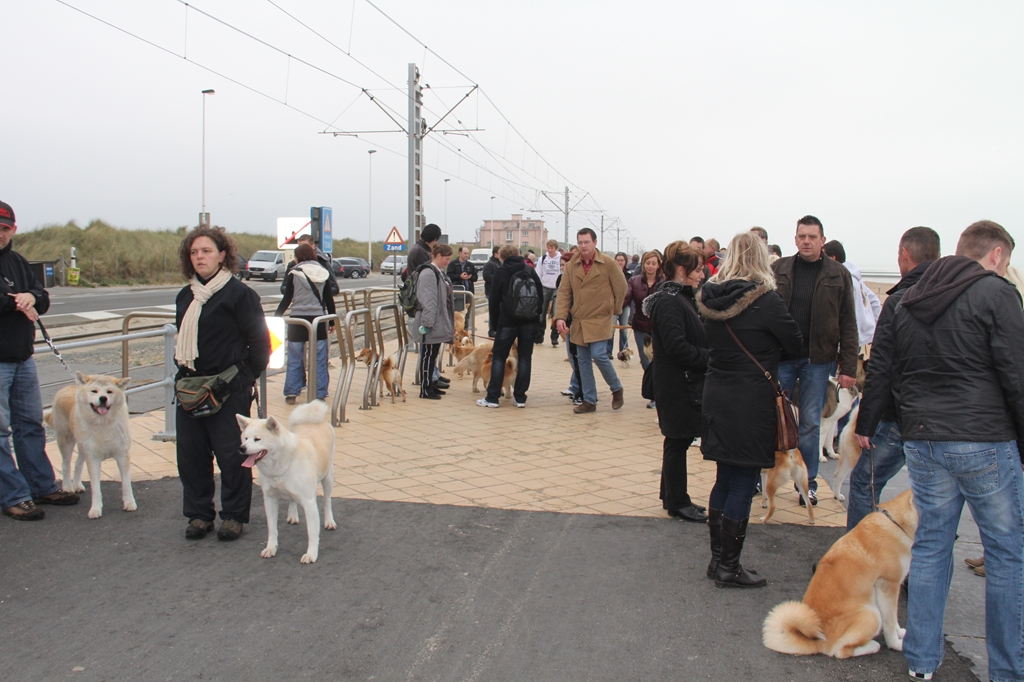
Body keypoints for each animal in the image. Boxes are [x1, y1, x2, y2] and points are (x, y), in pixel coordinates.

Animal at [44, 372, 135, 516]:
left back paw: (77, 485)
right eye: (94, 391)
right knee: (66, 464)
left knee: (78, 464)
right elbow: (96, 488)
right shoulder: (93, 459)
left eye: (109, 392)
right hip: (66, 441)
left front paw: (129, 503)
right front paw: (95, 509)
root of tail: (66, 388)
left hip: (82, 447)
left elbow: (126, 484)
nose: (103, 398)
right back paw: (68, 487)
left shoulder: (122, 455)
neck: (103, 423)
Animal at [235, 399, 335, 561]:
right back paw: (292, 515)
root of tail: (314, 421)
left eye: (257, 439)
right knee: (292, 500)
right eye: (245, 438)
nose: (242, 448)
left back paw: (329, 521)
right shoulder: (269, 499)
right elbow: (272, 529)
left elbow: (312, 532)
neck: (281, 463)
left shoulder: (309, 501)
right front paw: (270, 548)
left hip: (328, 478)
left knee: (327, 501)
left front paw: (311, 554)